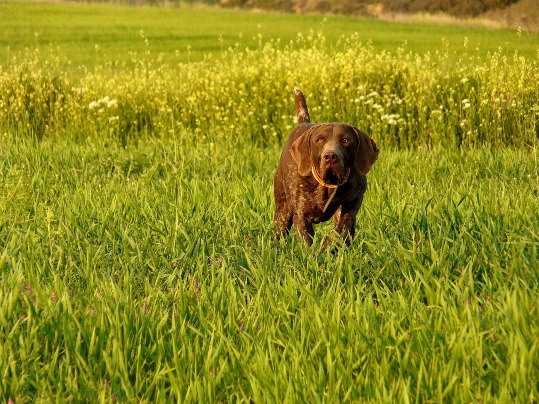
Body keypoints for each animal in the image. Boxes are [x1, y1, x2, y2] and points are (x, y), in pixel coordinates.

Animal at [274, 88, 380, 246]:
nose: (330, 156)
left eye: (345, 140)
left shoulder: (352, 203)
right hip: (283, 211)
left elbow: (343, 228)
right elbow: (307, 242)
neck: (328, 184)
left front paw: (329, 245)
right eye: (319, 140)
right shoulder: (301, 214)